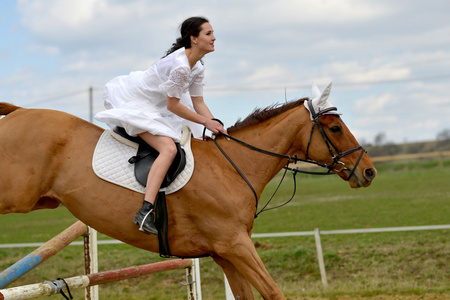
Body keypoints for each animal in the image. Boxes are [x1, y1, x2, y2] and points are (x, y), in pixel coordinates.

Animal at [0, 85, 374, 300]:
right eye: (335, 128)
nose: (368, 171)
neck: (232, 166)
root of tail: (19, 113)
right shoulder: (235, 245)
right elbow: (273, 292)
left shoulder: (225, 253)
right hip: (16, 195)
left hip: (41, 200)